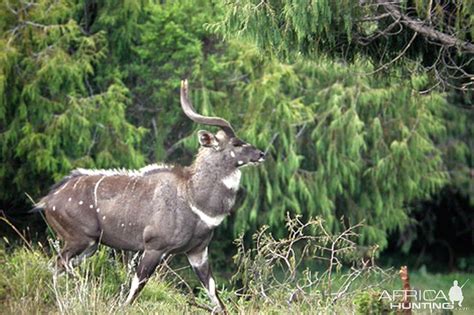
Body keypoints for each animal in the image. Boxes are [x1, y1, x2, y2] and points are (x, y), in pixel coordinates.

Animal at [36, 80, 266, 312]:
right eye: (236, 143)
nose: (261, 154)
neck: (192, 197)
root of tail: (47, 201)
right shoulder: (155, 246)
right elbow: (137, 285)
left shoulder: (197, 251)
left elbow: (214, 293)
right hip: (79, 239)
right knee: (57, 265)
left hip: (90, 245)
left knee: (58, 267)